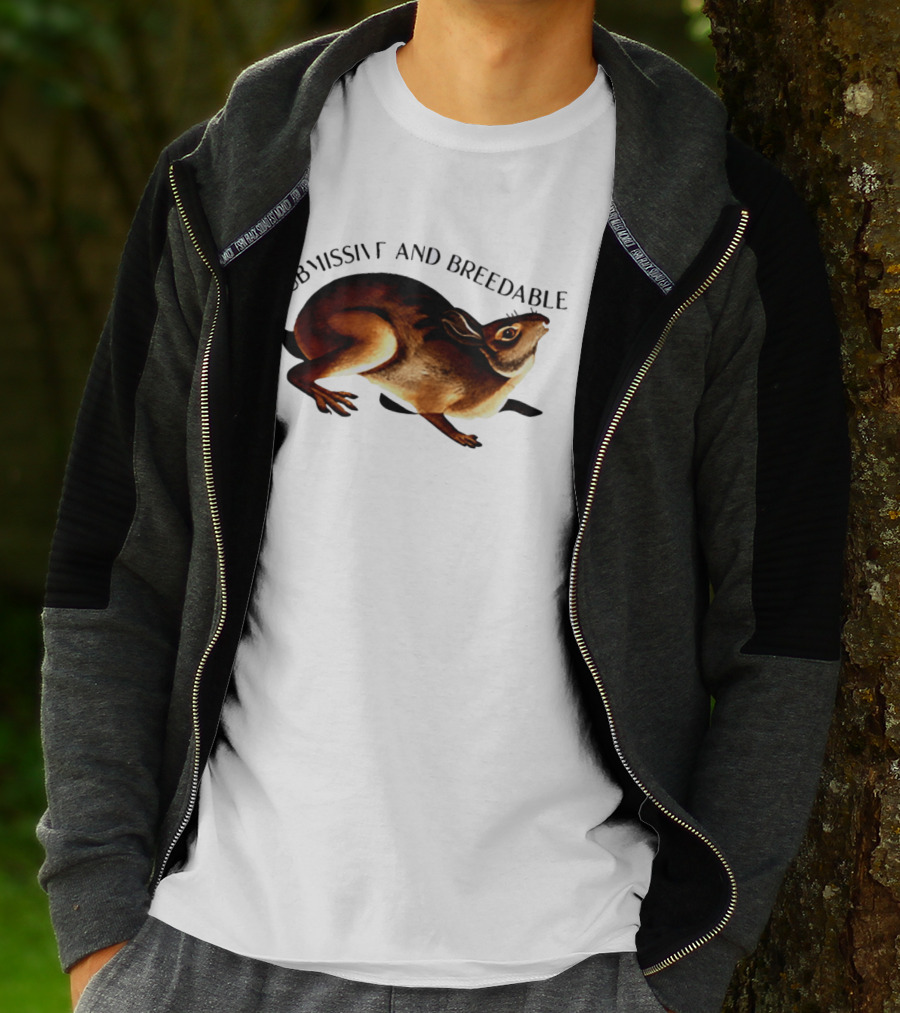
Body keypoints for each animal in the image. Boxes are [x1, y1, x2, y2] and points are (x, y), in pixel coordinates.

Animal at [284, 272, 550, 448]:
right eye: (509, 333)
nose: (546, 320)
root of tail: (299, 326)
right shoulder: (432, 398)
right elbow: (436, 418)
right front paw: (462, 437)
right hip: (379, 339)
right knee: (294, 373)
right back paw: (330, 397)